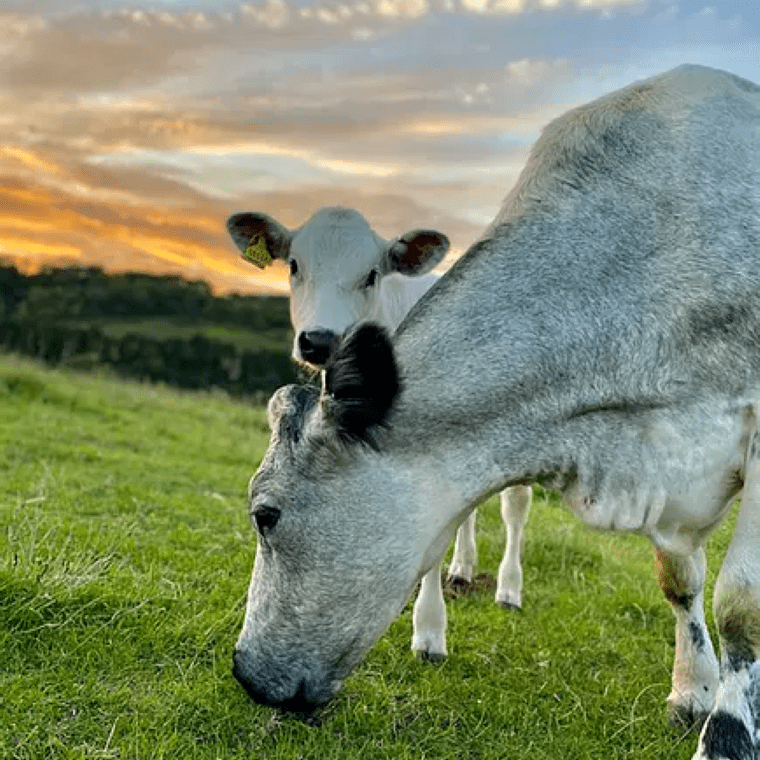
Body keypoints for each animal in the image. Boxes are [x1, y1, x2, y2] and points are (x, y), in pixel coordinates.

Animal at [226, 208, 536, 660]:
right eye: (295, 265)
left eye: (371, 274)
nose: (320, 340)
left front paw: (429, 631)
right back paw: (462, 569)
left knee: (515, 505)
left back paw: (509, 588)